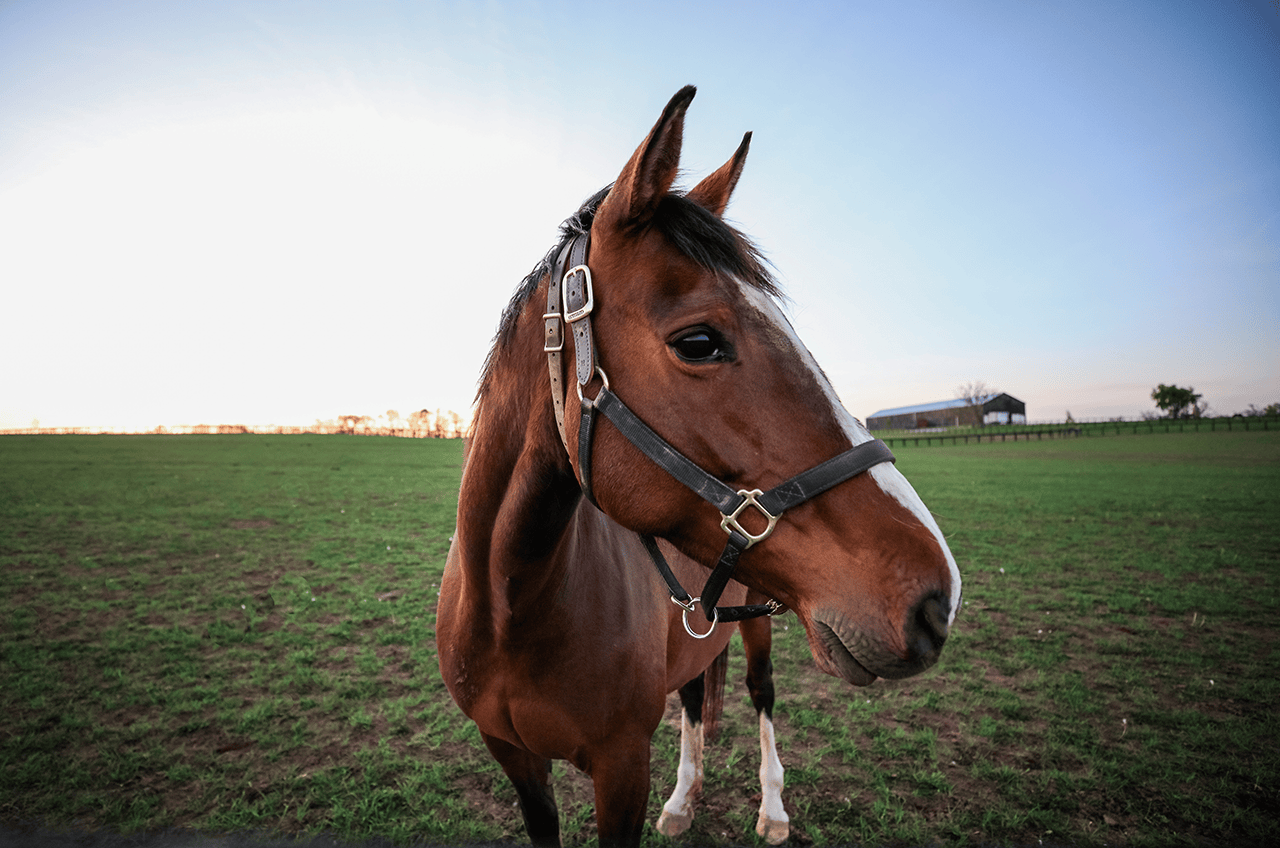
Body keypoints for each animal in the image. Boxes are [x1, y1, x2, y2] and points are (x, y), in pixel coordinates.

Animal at [436, 85, 961, 848]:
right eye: (699, 342)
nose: (936, 598)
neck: (513, 607)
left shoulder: (621, 766)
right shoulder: (515, 761)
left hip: (761, 619)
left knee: (761, 695)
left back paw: (772, 809)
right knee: (689, 696)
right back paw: (683, 800)